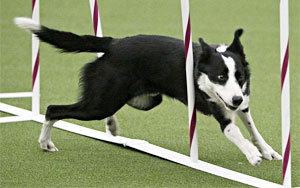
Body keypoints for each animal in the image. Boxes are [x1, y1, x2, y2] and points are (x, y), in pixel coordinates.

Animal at [14, 16, 282, 165]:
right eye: (220, 77)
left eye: (240, 77)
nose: (235, 99)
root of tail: (113, 43)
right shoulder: (219, 107)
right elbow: (233, 131)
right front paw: (251, 154)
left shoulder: (242, 102)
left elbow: (252, 129)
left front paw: (267, 151)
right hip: (102, 103)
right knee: (53, 109)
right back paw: (45, 143)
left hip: (142, 99)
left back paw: (111, 126)